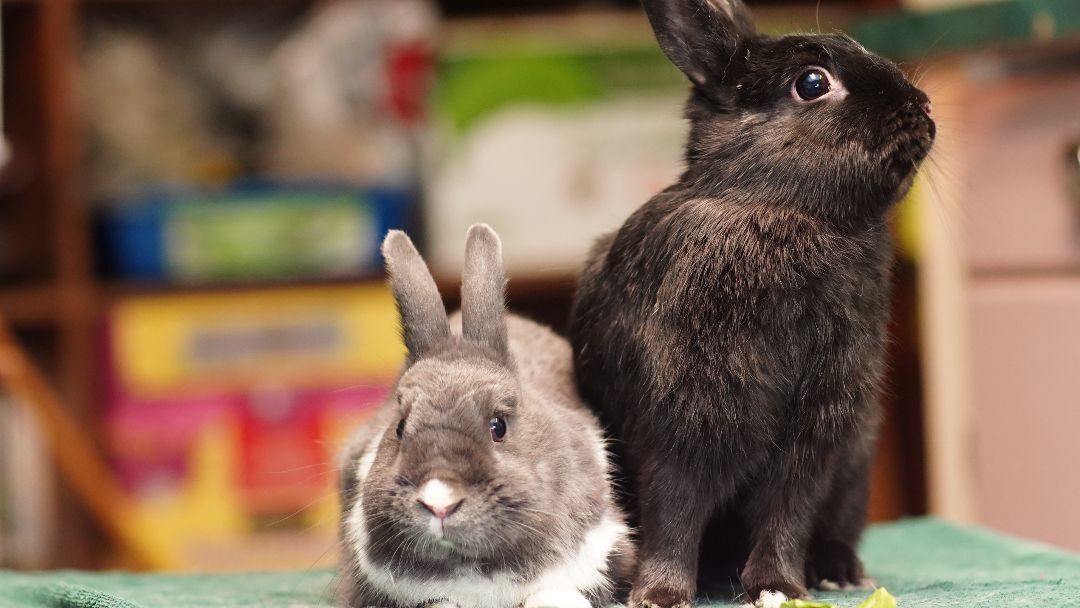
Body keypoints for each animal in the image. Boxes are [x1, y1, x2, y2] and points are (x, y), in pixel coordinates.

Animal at [567, 0, 935, 606]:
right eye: (812, 83)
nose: (924, 107)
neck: (784, 208)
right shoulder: (682, 421)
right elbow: (674, 514)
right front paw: (662, 595)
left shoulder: (813, 437)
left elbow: (786, 516)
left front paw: (777, 587)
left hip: (855, 464)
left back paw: (839, 571)